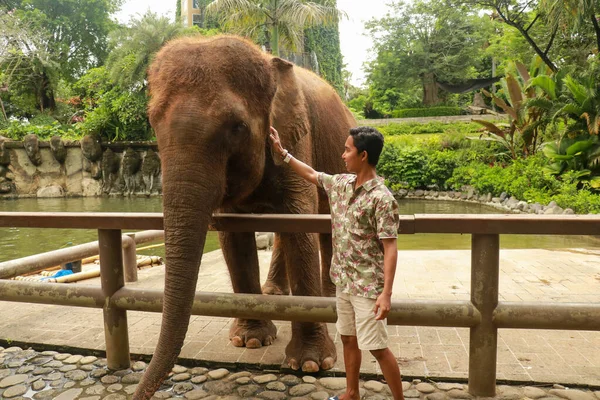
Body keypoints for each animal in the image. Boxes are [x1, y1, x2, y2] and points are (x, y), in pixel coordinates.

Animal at [134, 35, 354, 400]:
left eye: (237, 127)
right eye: (152, 122)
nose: (137, 392)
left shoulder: (297, 136)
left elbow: (300, 226)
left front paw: (311, 364)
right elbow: (234, 236)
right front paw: (250, 341)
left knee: (324, 224)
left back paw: (329, 295)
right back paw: (276, 293)